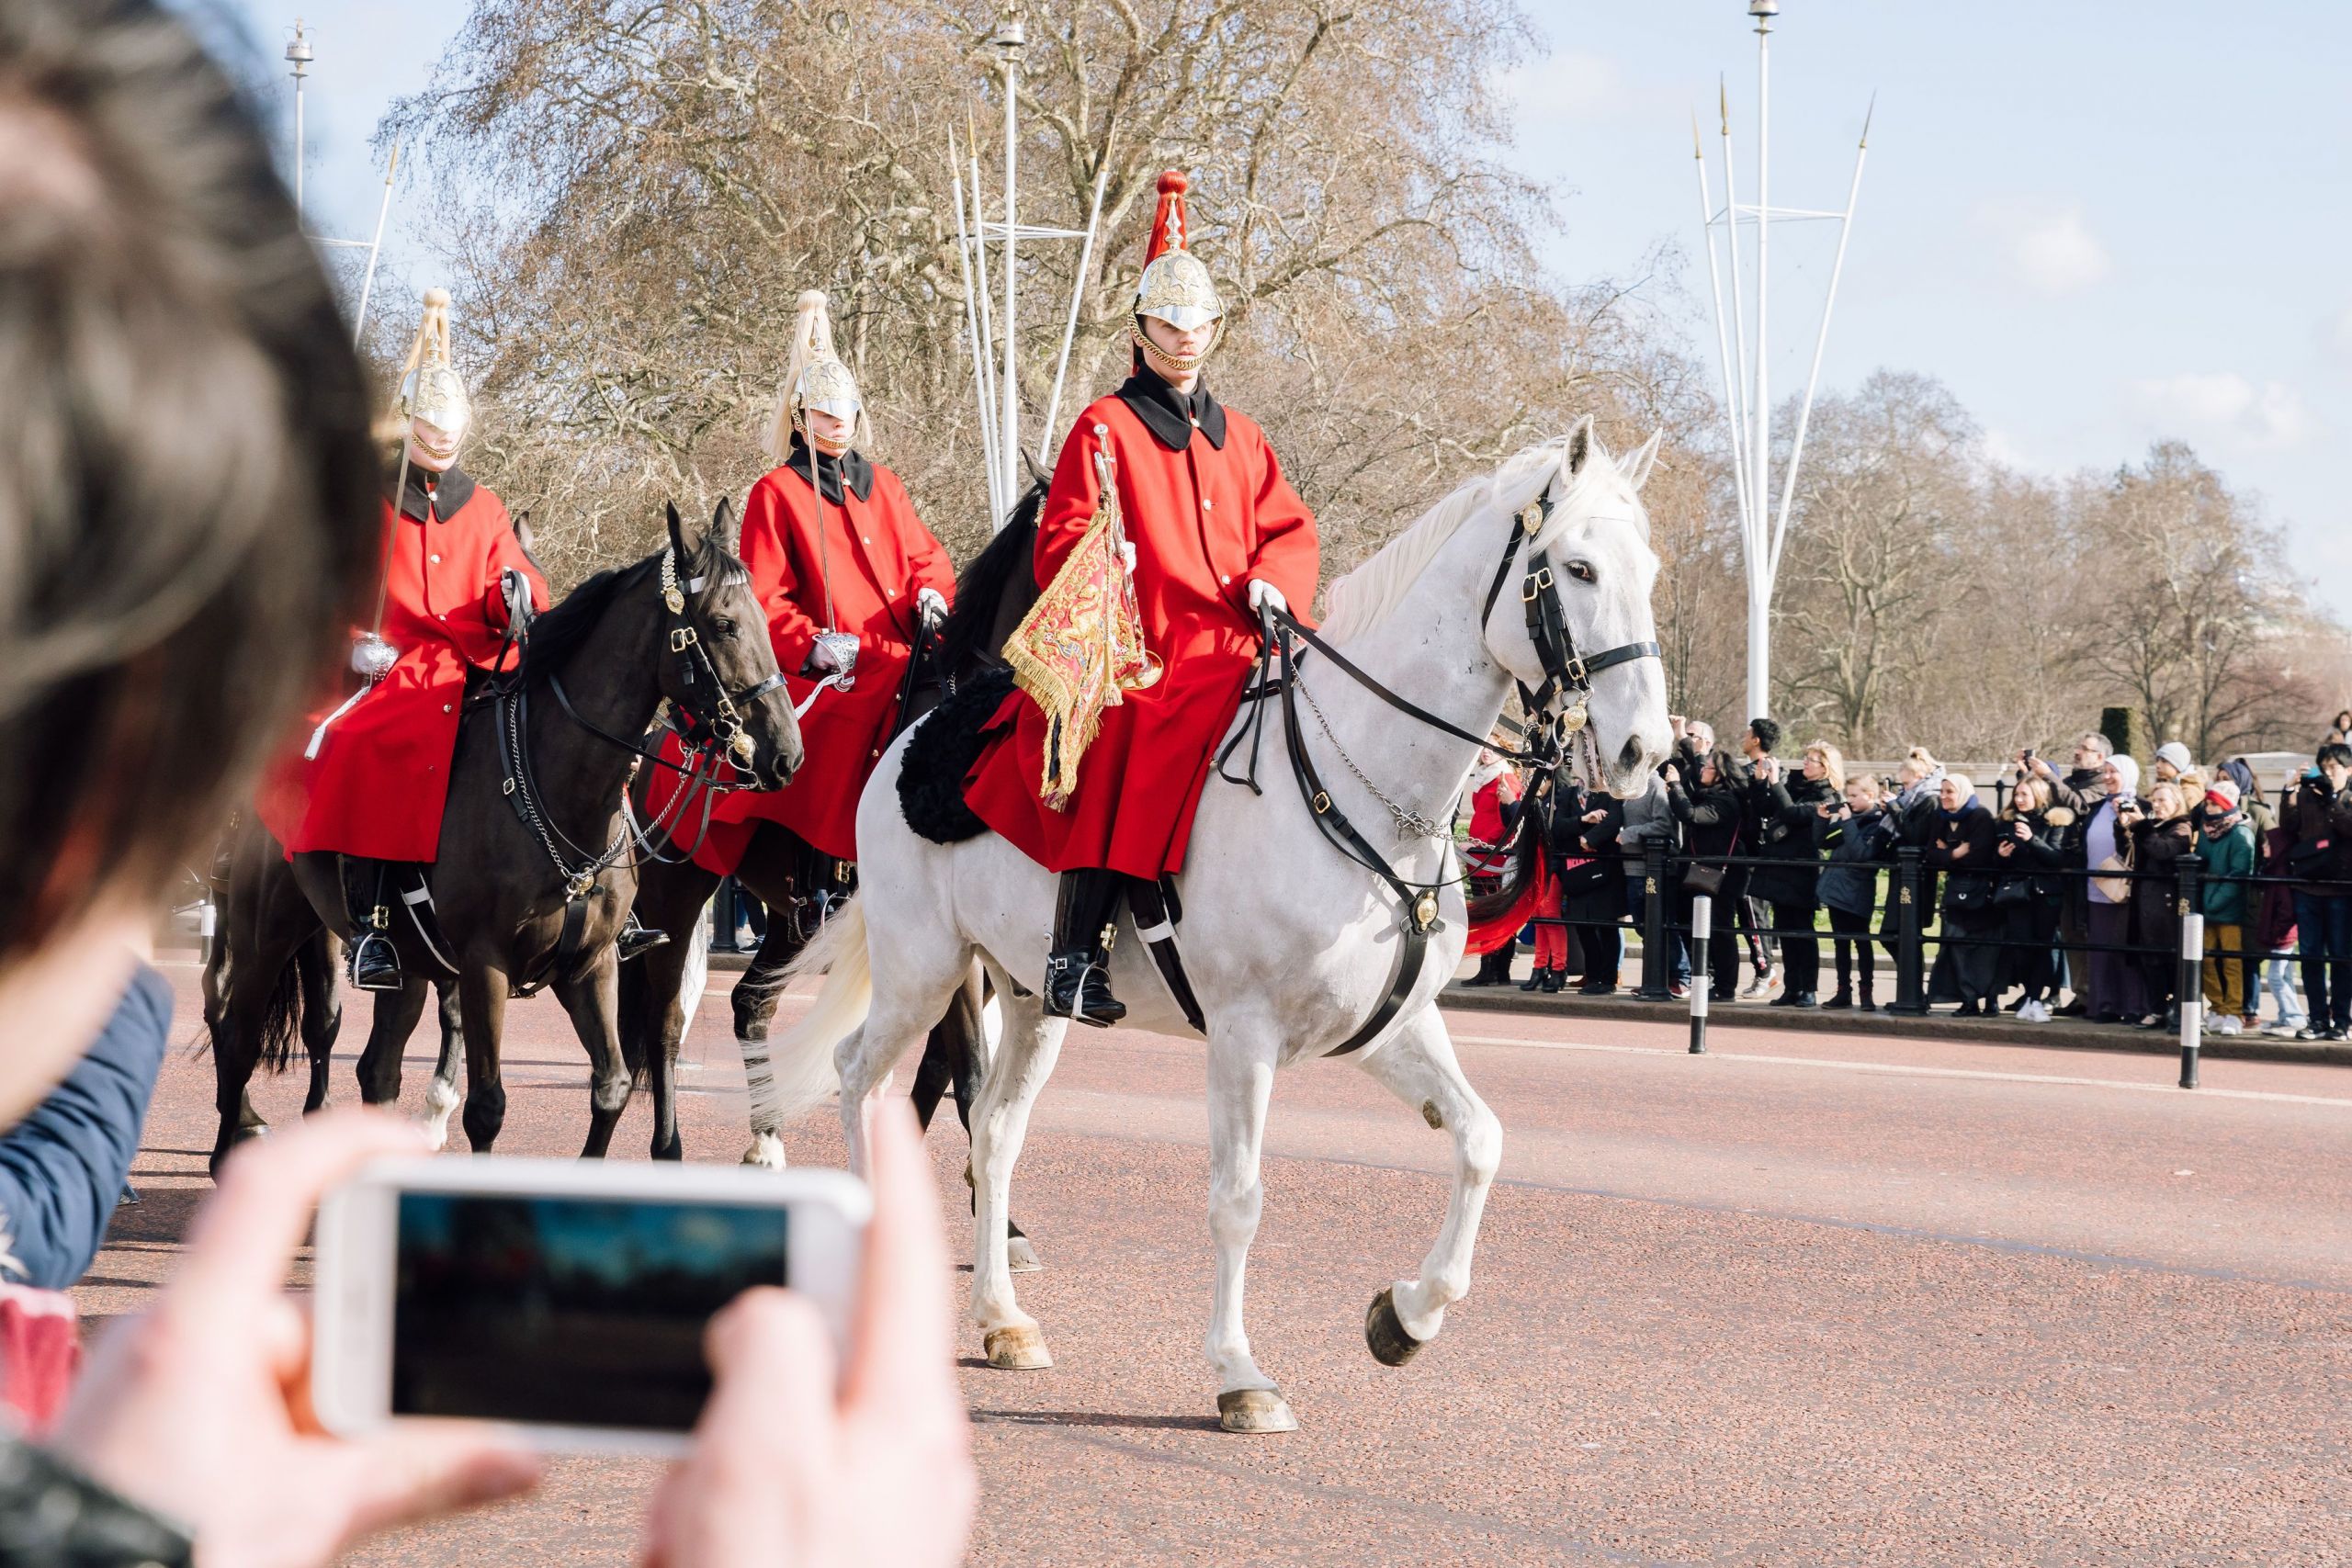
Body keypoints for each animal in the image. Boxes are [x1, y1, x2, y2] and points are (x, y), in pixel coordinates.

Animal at [204, 495, 790, 1170]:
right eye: (723, 624)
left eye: (766, 619)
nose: (785, 754)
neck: (560, 791)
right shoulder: (485, 966)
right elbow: (487, 1106)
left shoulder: (591, 966)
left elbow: (612, 1085)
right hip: (265, 928)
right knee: (239, 1033)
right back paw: (236, 1144)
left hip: (396, 956)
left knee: (376, 1069)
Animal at [742, 421, 1665, 1438]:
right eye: (1577, 567)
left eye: (1649, 568)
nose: (1646, 749)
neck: (1363, 787)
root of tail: (913, 736)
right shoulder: (1242, 1033)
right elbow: (1238, 1199)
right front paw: (1238, 1371)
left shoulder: (1392, 1028)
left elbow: (1480, 1140)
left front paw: (1407, 1315)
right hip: (924, 971)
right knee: (856, 1076)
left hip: (1028, 997)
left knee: (994, 1130)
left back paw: (1001, 1318)